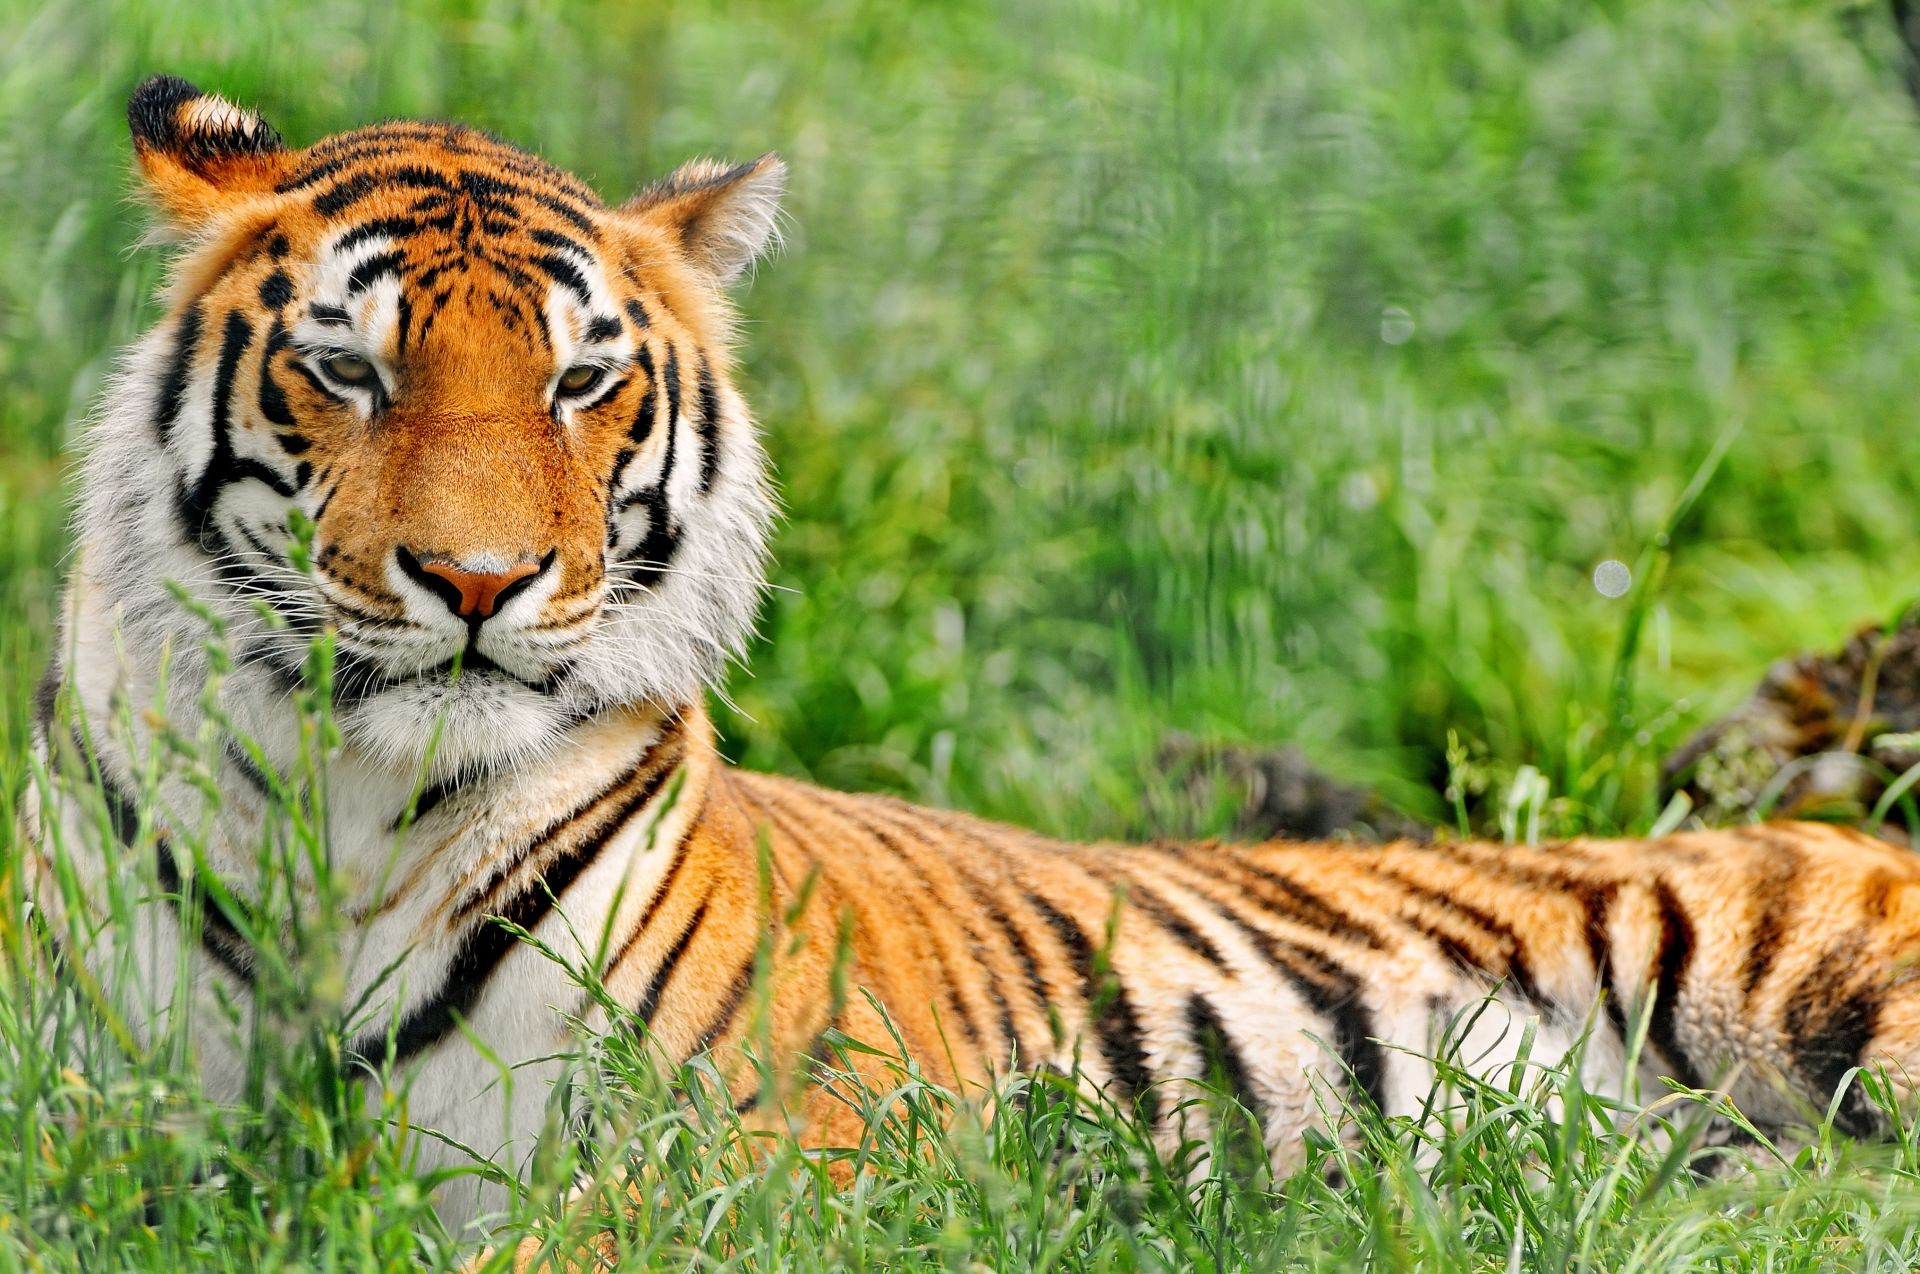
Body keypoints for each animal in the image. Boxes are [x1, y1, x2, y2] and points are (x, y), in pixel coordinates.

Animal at [30, 71, 1920, 1243]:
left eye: (581, 381)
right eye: (348, 369)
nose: (481, 579)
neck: (346, 810)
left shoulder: (779, 1145)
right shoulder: (86, 1120)